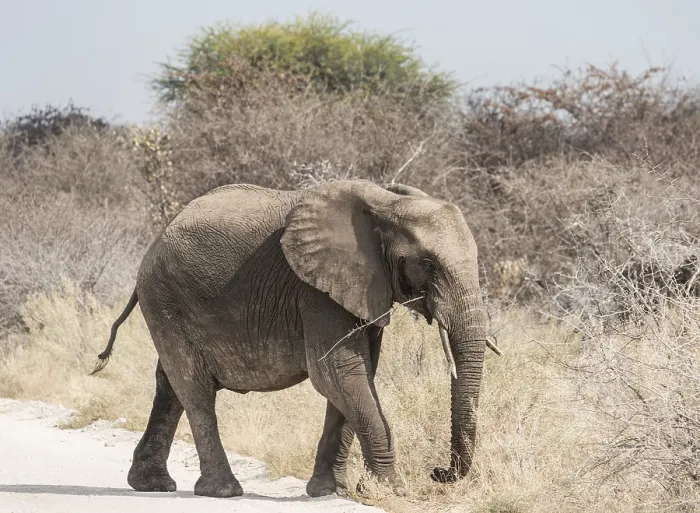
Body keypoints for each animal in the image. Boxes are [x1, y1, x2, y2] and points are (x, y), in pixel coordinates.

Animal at [91, 179, 499, 498]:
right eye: (428, 264)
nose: (438, 473)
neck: (386, 204)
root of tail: (156, 241)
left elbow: (356, 375)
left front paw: (334, 491)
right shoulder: (316, 291)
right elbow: (338, 373)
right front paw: (392, 491)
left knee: (170, 386)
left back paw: (151, 485)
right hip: (165, 297)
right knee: (195, 388)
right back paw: (223, 491)